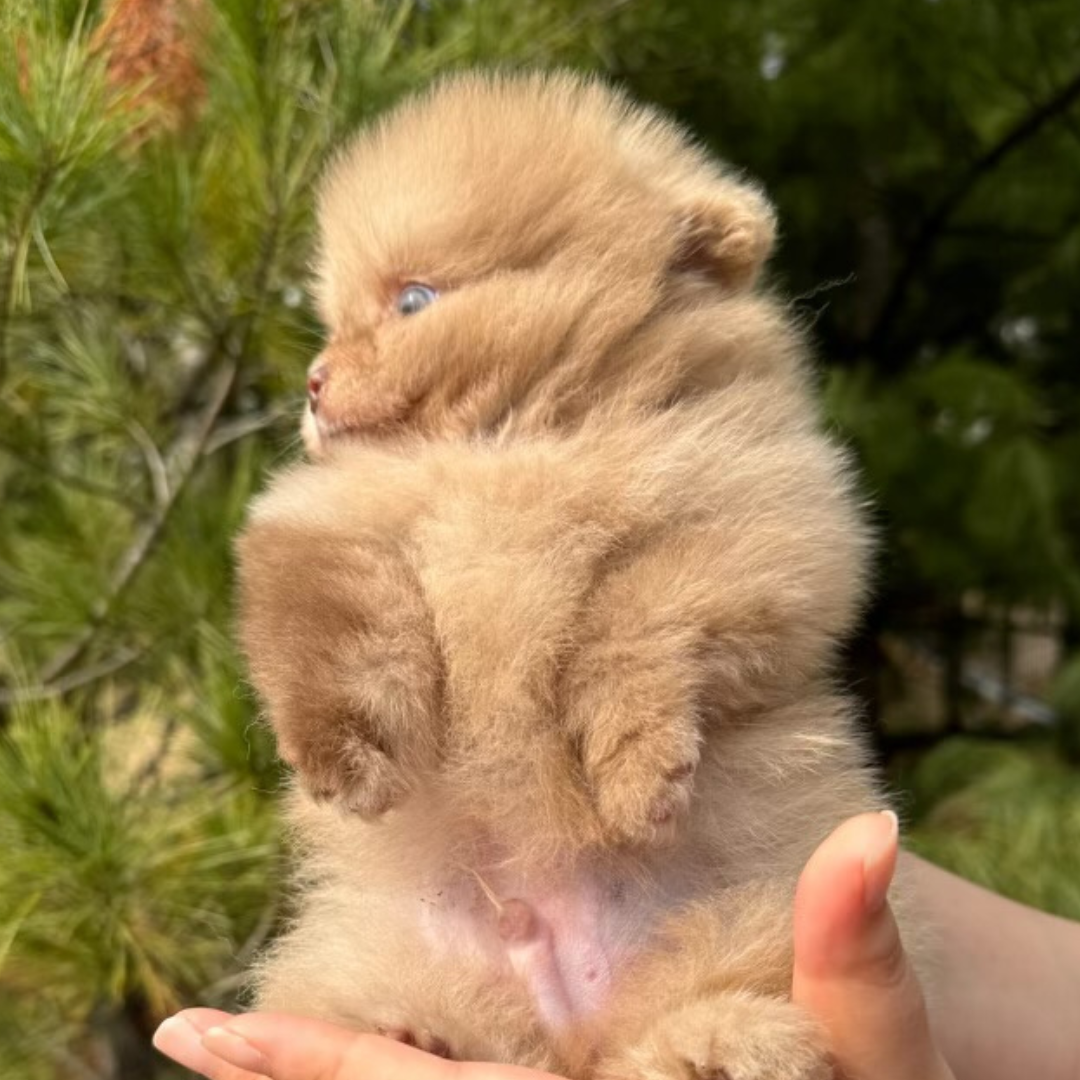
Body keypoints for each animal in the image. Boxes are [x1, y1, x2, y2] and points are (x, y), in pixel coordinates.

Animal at [240, 73, 889, 1080]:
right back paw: (408, 1030)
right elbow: (339, 616)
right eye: (332, 319)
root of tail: (566, 1025)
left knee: (694, 1004)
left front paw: (635, 772)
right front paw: (345, 754)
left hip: (751, 916)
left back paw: (720, 1042)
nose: (312, 381)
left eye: (413, 300)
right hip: (367, 947)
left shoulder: (757, 519)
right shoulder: (335, 522)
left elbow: (636, 616)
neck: (514, 443)